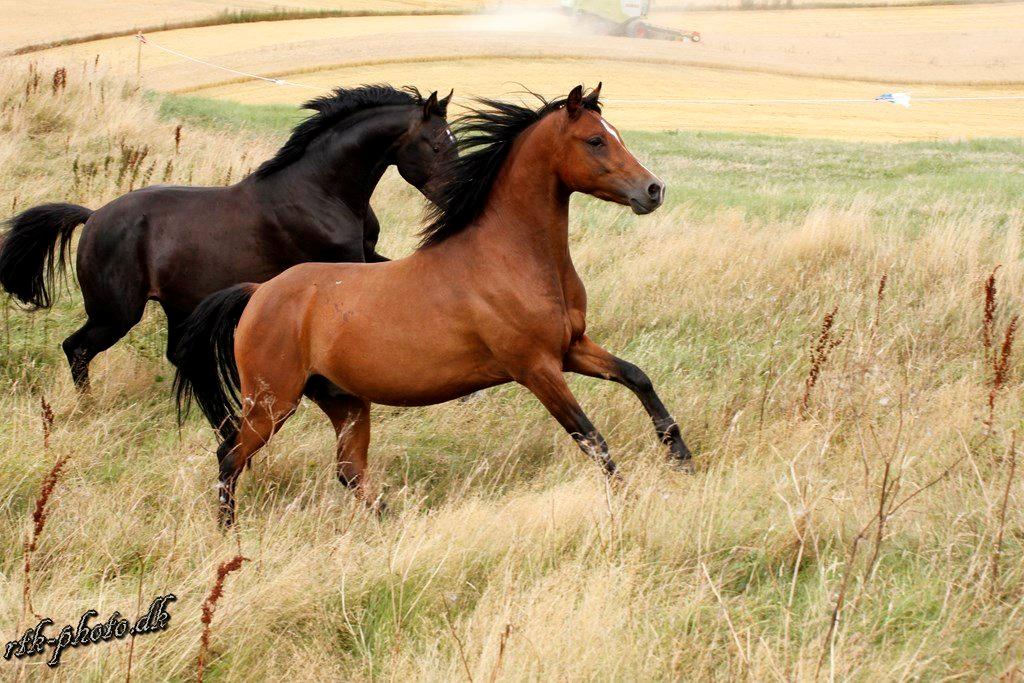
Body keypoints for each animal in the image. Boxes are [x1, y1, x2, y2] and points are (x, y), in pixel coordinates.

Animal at [0, 85, 455, 389]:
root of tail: (92, 217)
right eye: (436, 146)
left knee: (173, 353)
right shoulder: (341, 265)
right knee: (76, 349)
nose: (454, 196)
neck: (320, 191)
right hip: (115, 312)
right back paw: (86, 406)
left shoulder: (365, 255)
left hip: (175, 303)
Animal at [173, 84, 692, 526]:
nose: (654, 190)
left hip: (344, 401)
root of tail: (258, 293)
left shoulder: (572, 348)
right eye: (595, 141)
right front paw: (631, 498)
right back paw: (229, 535)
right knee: (230, 456)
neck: (510, 256)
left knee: (349, 470)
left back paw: (394, 525)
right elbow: (592, 438)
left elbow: (638, 378)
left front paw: (682, 459)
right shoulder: (536, 368)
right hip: (272, 403)